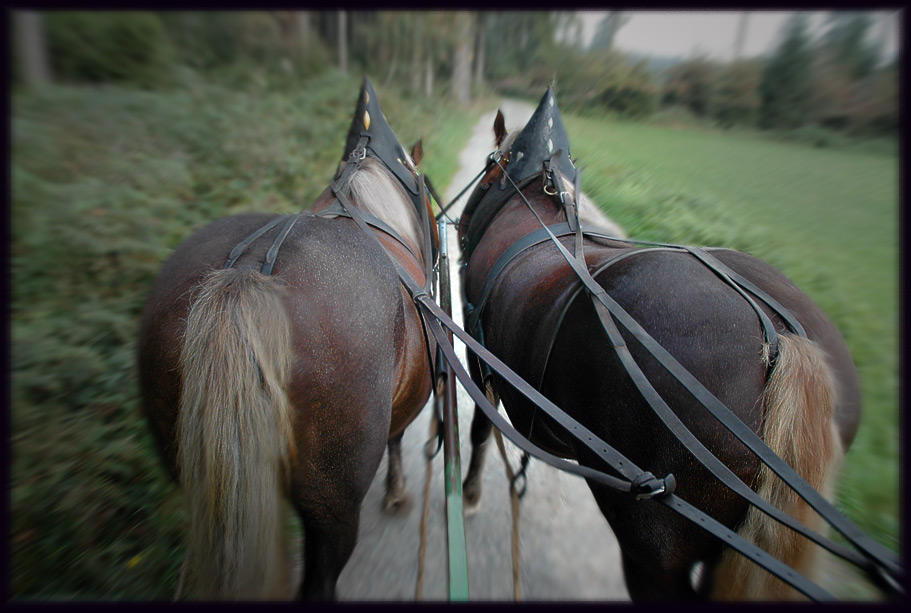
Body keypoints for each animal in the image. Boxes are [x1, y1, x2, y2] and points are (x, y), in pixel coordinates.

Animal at [460, 88, 864, 600]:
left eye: (489, 165)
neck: (533, 198)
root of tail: (780, 337)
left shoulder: (477, 356)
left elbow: (478, 430)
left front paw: (470, 494)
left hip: (650, 550)